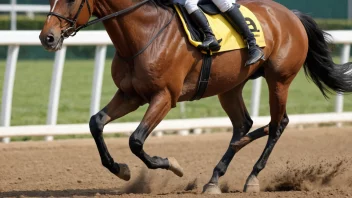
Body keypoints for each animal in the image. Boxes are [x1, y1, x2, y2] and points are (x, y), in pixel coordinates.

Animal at [38, 0, 352, 193]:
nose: (47, 37)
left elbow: (136, 140)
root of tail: (291, 14)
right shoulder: (130, 94)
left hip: (279, 80)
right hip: (230, 86)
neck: (145, 31)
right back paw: (215, 177)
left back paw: (252, 177)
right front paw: (120, 169)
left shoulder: (164, 97)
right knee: (244, 125)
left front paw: (171, 165)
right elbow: (96, 122)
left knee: (278, 124)